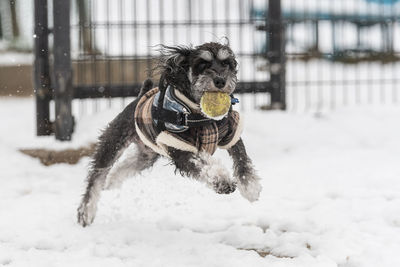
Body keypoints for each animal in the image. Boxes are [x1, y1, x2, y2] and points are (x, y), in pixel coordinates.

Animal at [77, 43, 262, 227]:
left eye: (226, 63)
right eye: (202, 64)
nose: (220, 81)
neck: (201, 116)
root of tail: (138, 98)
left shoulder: (232, 134)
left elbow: (242, 159)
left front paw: (250, 187)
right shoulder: (180, 149)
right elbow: (203, 164)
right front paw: (222, 180)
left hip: (147, 156)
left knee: (126, 167)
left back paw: (112, 181)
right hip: (113, 143)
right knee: (96, 176)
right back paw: (86, 212)